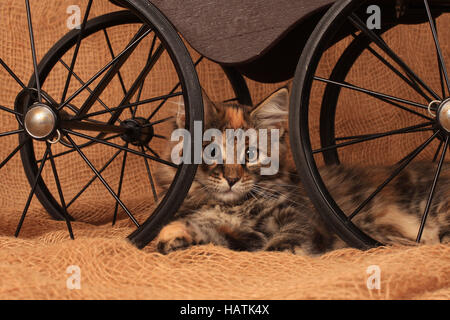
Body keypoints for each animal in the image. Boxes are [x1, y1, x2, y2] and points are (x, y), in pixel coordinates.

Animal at [156, 87, 450, 255]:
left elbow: (289, 236)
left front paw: (280, 252)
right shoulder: (239, 234)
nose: (231, 179)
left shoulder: (300, 215)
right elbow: (211, 232)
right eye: (213, 152)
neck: (233, 207)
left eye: (250, 155)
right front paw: (174, 235)